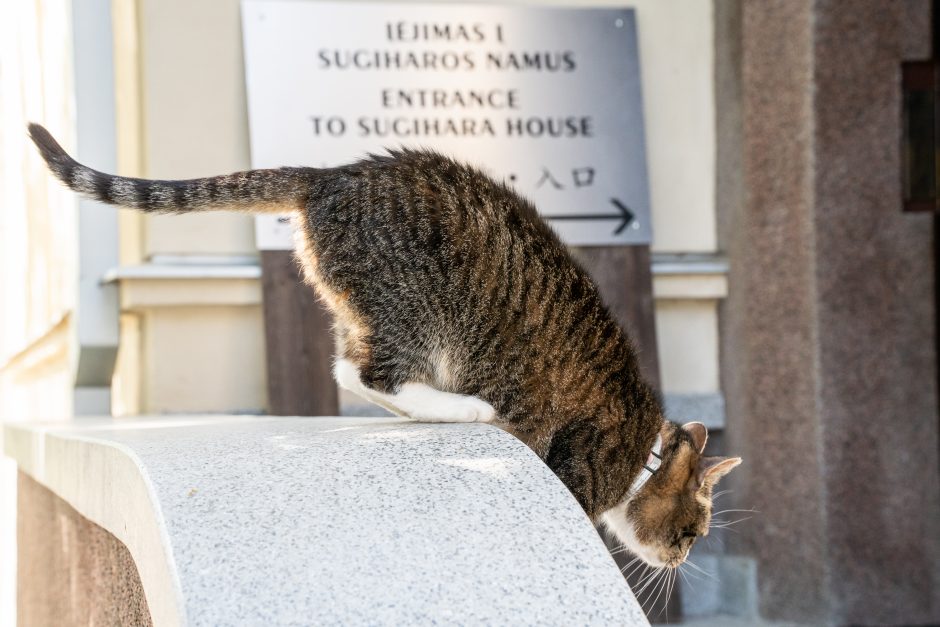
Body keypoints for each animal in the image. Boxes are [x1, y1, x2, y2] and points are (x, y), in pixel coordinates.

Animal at [29, 124, 740, 568]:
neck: (641, 451)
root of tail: (329, 174)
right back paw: (469, 408)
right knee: (371, 373)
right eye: (692, 530)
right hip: (421, 309)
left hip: (369, 307)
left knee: (349, 369)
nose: (681, 558)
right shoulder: (578, 470)